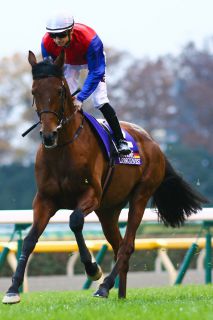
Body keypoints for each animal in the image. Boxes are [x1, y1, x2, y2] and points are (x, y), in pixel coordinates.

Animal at [2, 50, 207, 304]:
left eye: (59, 90)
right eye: (34, 91)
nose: (48, 135)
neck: (64, 149)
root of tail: (154, 143)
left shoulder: (91, 196)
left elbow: (75, 221)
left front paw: (92, 269)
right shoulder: (44, 200)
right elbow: (30, 239)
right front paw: (12, 289)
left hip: (140, 196)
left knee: (127, 245)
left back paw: (104, 286)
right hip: (109, 210)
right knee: (118, 245)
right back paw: (119, 294)